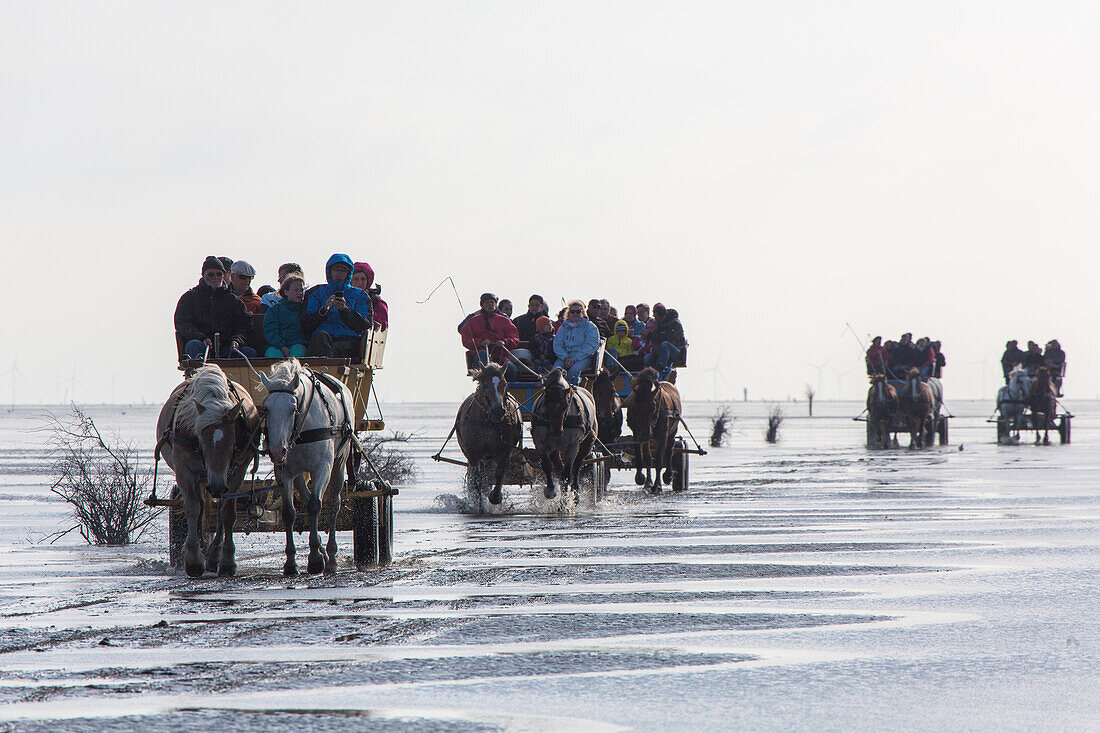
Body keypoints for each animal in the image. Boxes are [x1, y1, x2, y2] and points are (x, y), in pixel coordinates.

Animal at [156, 365, 260, 576]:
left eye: (233, 443)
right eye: (202, 441)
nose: (218, 486)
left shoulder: (236, 472)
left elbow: (227, 513)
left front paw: (227, 560)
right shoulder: (185, 471)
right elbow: (193, 509)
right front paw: (193, 560)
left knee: (216, 510)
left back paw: (212, 556)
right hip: (201, 478)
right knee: (202, 507)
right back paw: (203, 548)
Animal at [260, 356, 352, 572]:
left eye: (293, 409)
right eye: (266, 409)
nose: (277, 450)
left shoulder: (323, 467)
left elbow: (315, 505)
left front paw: (315, 559)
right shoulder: (284, 472)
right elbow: (289, 512)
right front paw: (291, 562)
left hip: (340, 462)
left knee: (334, 503)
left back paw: (331, 555)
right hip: (298, 471)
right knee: (305, 492)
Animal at [455, 363, 523, 506]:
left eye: (505, 384)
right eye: (485, 385)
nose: (498, 410)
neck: (488, 421)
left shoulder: (504, 450)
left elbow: (499, 473)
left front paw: (495, 497)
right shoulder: (473, 454)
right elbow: (477, 480)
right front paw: (478, 504)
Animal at [530, 367, 598, 499]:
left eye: (566, 404)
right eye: (546, 402)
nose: (557, 432)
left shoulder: (572, 445)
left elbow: (567, 472)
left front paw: (565, 499)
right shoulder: (541, 443)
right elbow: (547, 465)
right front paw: (550, 489)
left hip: (587, 443)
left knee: (577, 465)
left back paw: (576, 491)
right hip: (555, 448)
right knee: (559, 468)